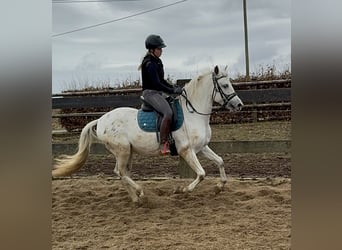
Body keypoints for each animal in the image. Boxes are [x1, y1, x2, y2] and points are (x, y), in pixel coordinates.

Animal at [52, 65, 243, 203]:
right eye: (225, 85)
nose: (239, 105)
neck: (193, 114)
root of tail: (100, 120)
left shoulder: (202, 148)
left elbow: (220, 161)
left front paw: (219, 187)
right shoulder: (186, 151)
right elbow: (202, 174)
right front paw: (182, 190)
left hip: (128, 152)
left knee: (123, 173)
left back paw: (137, 199)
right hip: (122, 151)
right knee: (120, 172)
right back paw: (140, 192)